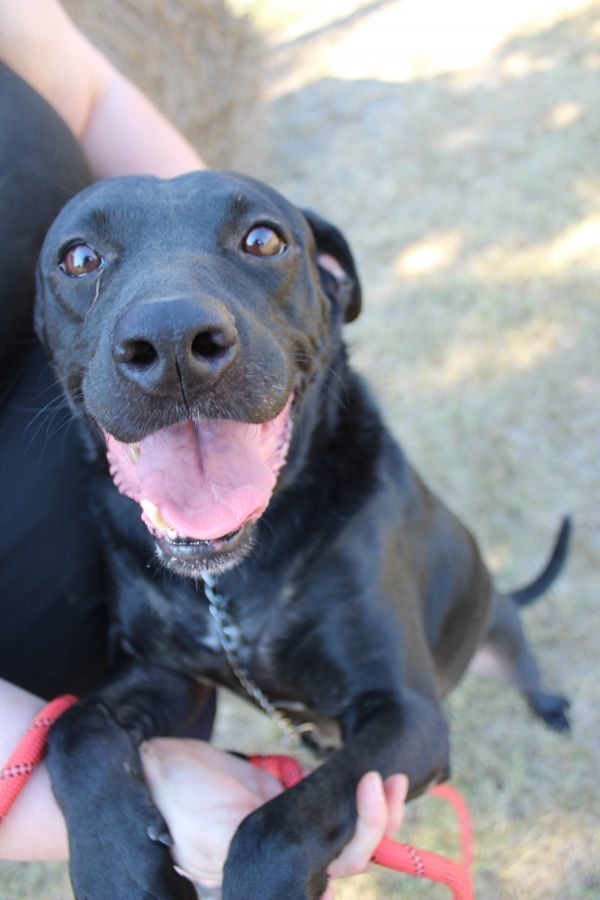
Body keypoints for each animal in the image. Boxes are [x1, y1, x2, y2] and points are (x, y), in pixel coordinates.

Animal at [35, 171, 568, 900]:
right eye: (80, 257)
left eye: (263, 239)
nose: (172, 342)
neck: (229, 584)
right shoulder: (166, 675)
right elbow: (72, 729)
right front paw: (116, 866)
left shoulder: (409, 716)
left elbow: (279, 823)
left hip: (500, 634)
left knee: (526, 663)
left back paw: (550, 703)